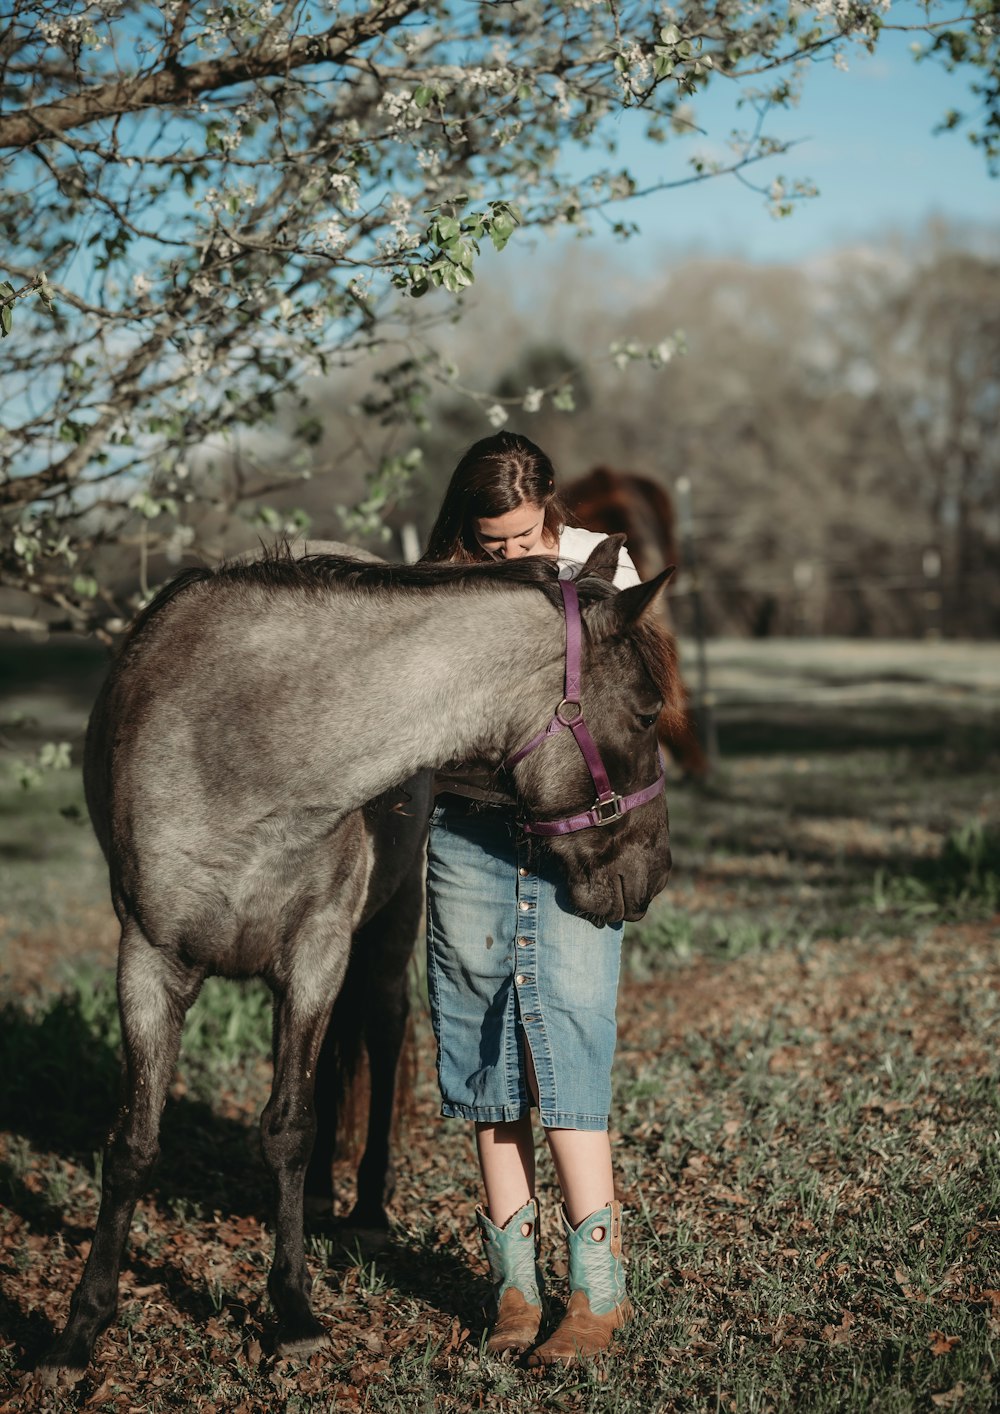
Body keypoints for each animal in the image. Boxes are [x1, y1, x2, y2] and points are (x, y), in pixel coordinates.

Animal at [42, 531, 676, 1380]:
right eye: (645, 712)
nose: (656, 873)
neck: (248, 743)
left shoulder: (316, 955)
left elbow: (290, 1126)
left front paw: (292, 1311)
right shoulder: (146, 960)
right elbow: (133, 1144)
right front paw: (83, 1325)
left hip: (381, 940)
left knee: (379, 1035)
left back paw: (367, 1207)